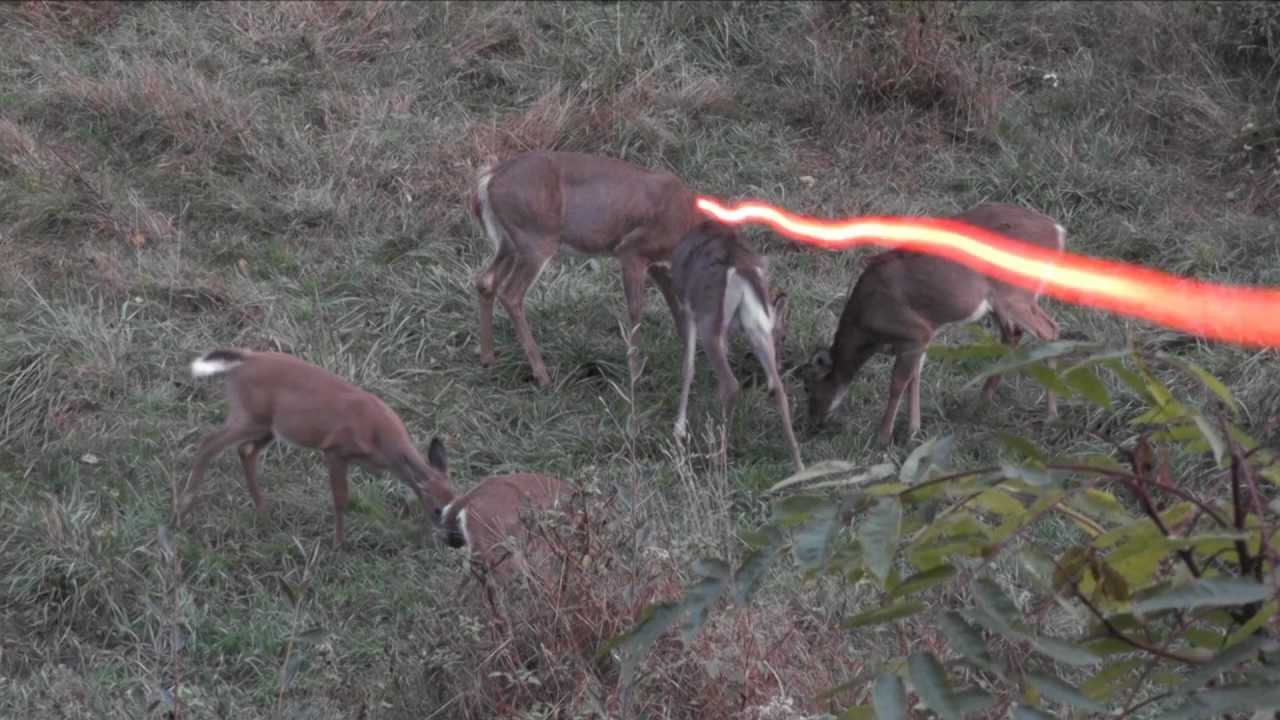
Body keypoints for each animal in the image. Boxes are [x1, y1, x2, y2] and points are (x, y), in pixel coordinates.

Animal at [180, 349, 455, 547]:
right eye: (437, 509)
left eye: (455, 502)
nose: (453, 541)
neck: (381, 440)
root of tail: (245, 358)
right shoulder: (336, 449)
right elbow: (341, 498)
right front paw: (339, 545)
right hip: (249, 415)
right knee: (208, 443)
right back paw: (184, 508)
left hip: (267, 427)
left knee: (244, 451)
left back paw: (263, 514)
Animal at [470, 150, 699, 387]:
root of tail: (489, 178)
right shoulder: (632, 250)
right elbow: (636, 309)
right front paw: (635, 374)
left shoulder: (659, 267)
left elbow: (679, 311)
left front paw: (687, 371)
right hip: (535, 237)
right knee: (511, 294)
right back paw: (542, 375)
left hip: (509, 243)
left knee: (485, 281)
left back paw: (488, 358)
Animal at [670, 220, 804, 471]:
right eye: (782, 335)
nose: (782, 361)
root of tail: (743, 271)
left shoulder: (688, 308)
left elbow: (687, 368)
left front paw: (679, 429)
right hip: (755, 326)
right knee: (777, 387)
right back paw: (799, 464)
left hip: (709, 321)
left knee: (731, 384)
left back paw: (717, 457)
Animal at [804, 202, 1067, 446]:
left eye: (809, 387)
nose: (813, 423)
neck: (866, 326)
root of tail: (1057, 231)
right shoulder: (924, 336)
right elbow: (915, 377)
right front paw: (913, 431)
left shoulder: (914, 331)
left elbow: (898, 382)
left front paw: (883, 437)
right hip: (1005, 301)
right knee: (1016, 333)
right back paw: (980, 404)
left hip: (1015, 293)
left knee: (1050, 330)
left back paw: (1051, 416)